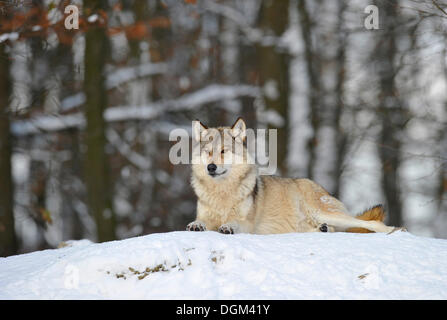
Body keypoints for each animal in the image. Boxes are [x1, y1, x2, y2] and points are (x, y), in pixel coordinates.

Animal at [186, 117, 406, 235]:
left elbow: (234, 222)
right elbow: (200, 221)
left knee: (368, 223)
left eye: (224, 151)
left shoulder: (246, 223)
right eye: (208, 152)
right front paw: (195, 225)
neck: (222, 192)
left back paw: (394, 230)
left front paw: (227, 227)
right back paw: (323, 229)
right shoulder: (204, 215)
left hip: (324, 213)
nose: (211, 167)